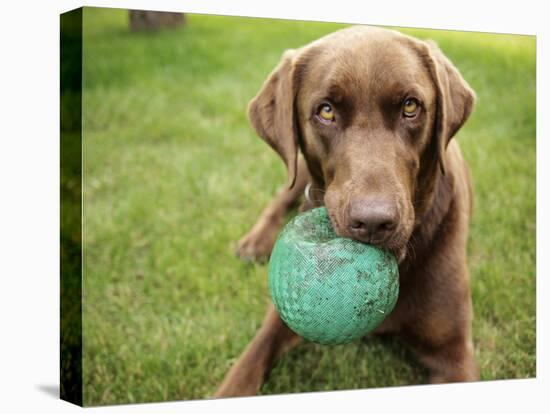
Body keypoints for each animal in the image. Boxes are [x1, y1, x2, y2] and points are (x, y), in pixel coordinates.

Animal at [216, 25, 478, 398]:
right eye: (326, 111)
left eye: (410, 106)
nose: (373, 222)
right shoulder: (282, 316)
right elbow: (246, 366)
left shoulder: (453, 353)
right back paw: (254, 243)